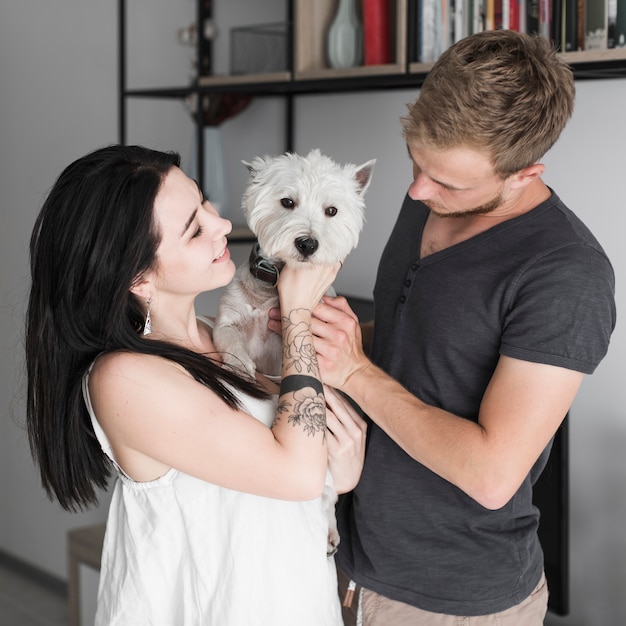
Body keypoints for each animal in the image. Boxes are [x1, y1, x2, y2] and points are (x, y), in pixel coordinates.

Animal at [212, 149, 372, 552]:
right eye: (287, 202)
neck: (275, 291)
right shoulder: (228, 322)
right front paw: (240, 368)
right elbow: (233, 343)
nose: (308, 244)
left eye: (332, 210)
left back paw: (329, 533)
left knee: (326, 498)